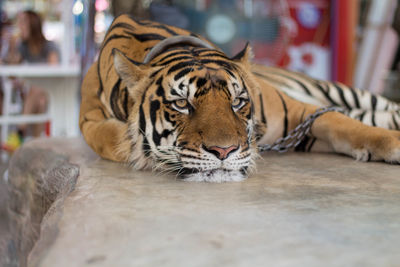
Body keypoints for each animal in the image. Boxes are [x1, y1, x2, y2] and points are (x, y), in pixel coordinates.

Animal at [79, 14, 400, 182]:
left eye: (237, 101)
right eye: (182, 103)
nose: (224, 152)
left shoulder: (302, 113)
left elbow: (344, 124)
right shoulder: (90, 121)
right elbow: (111, 137)